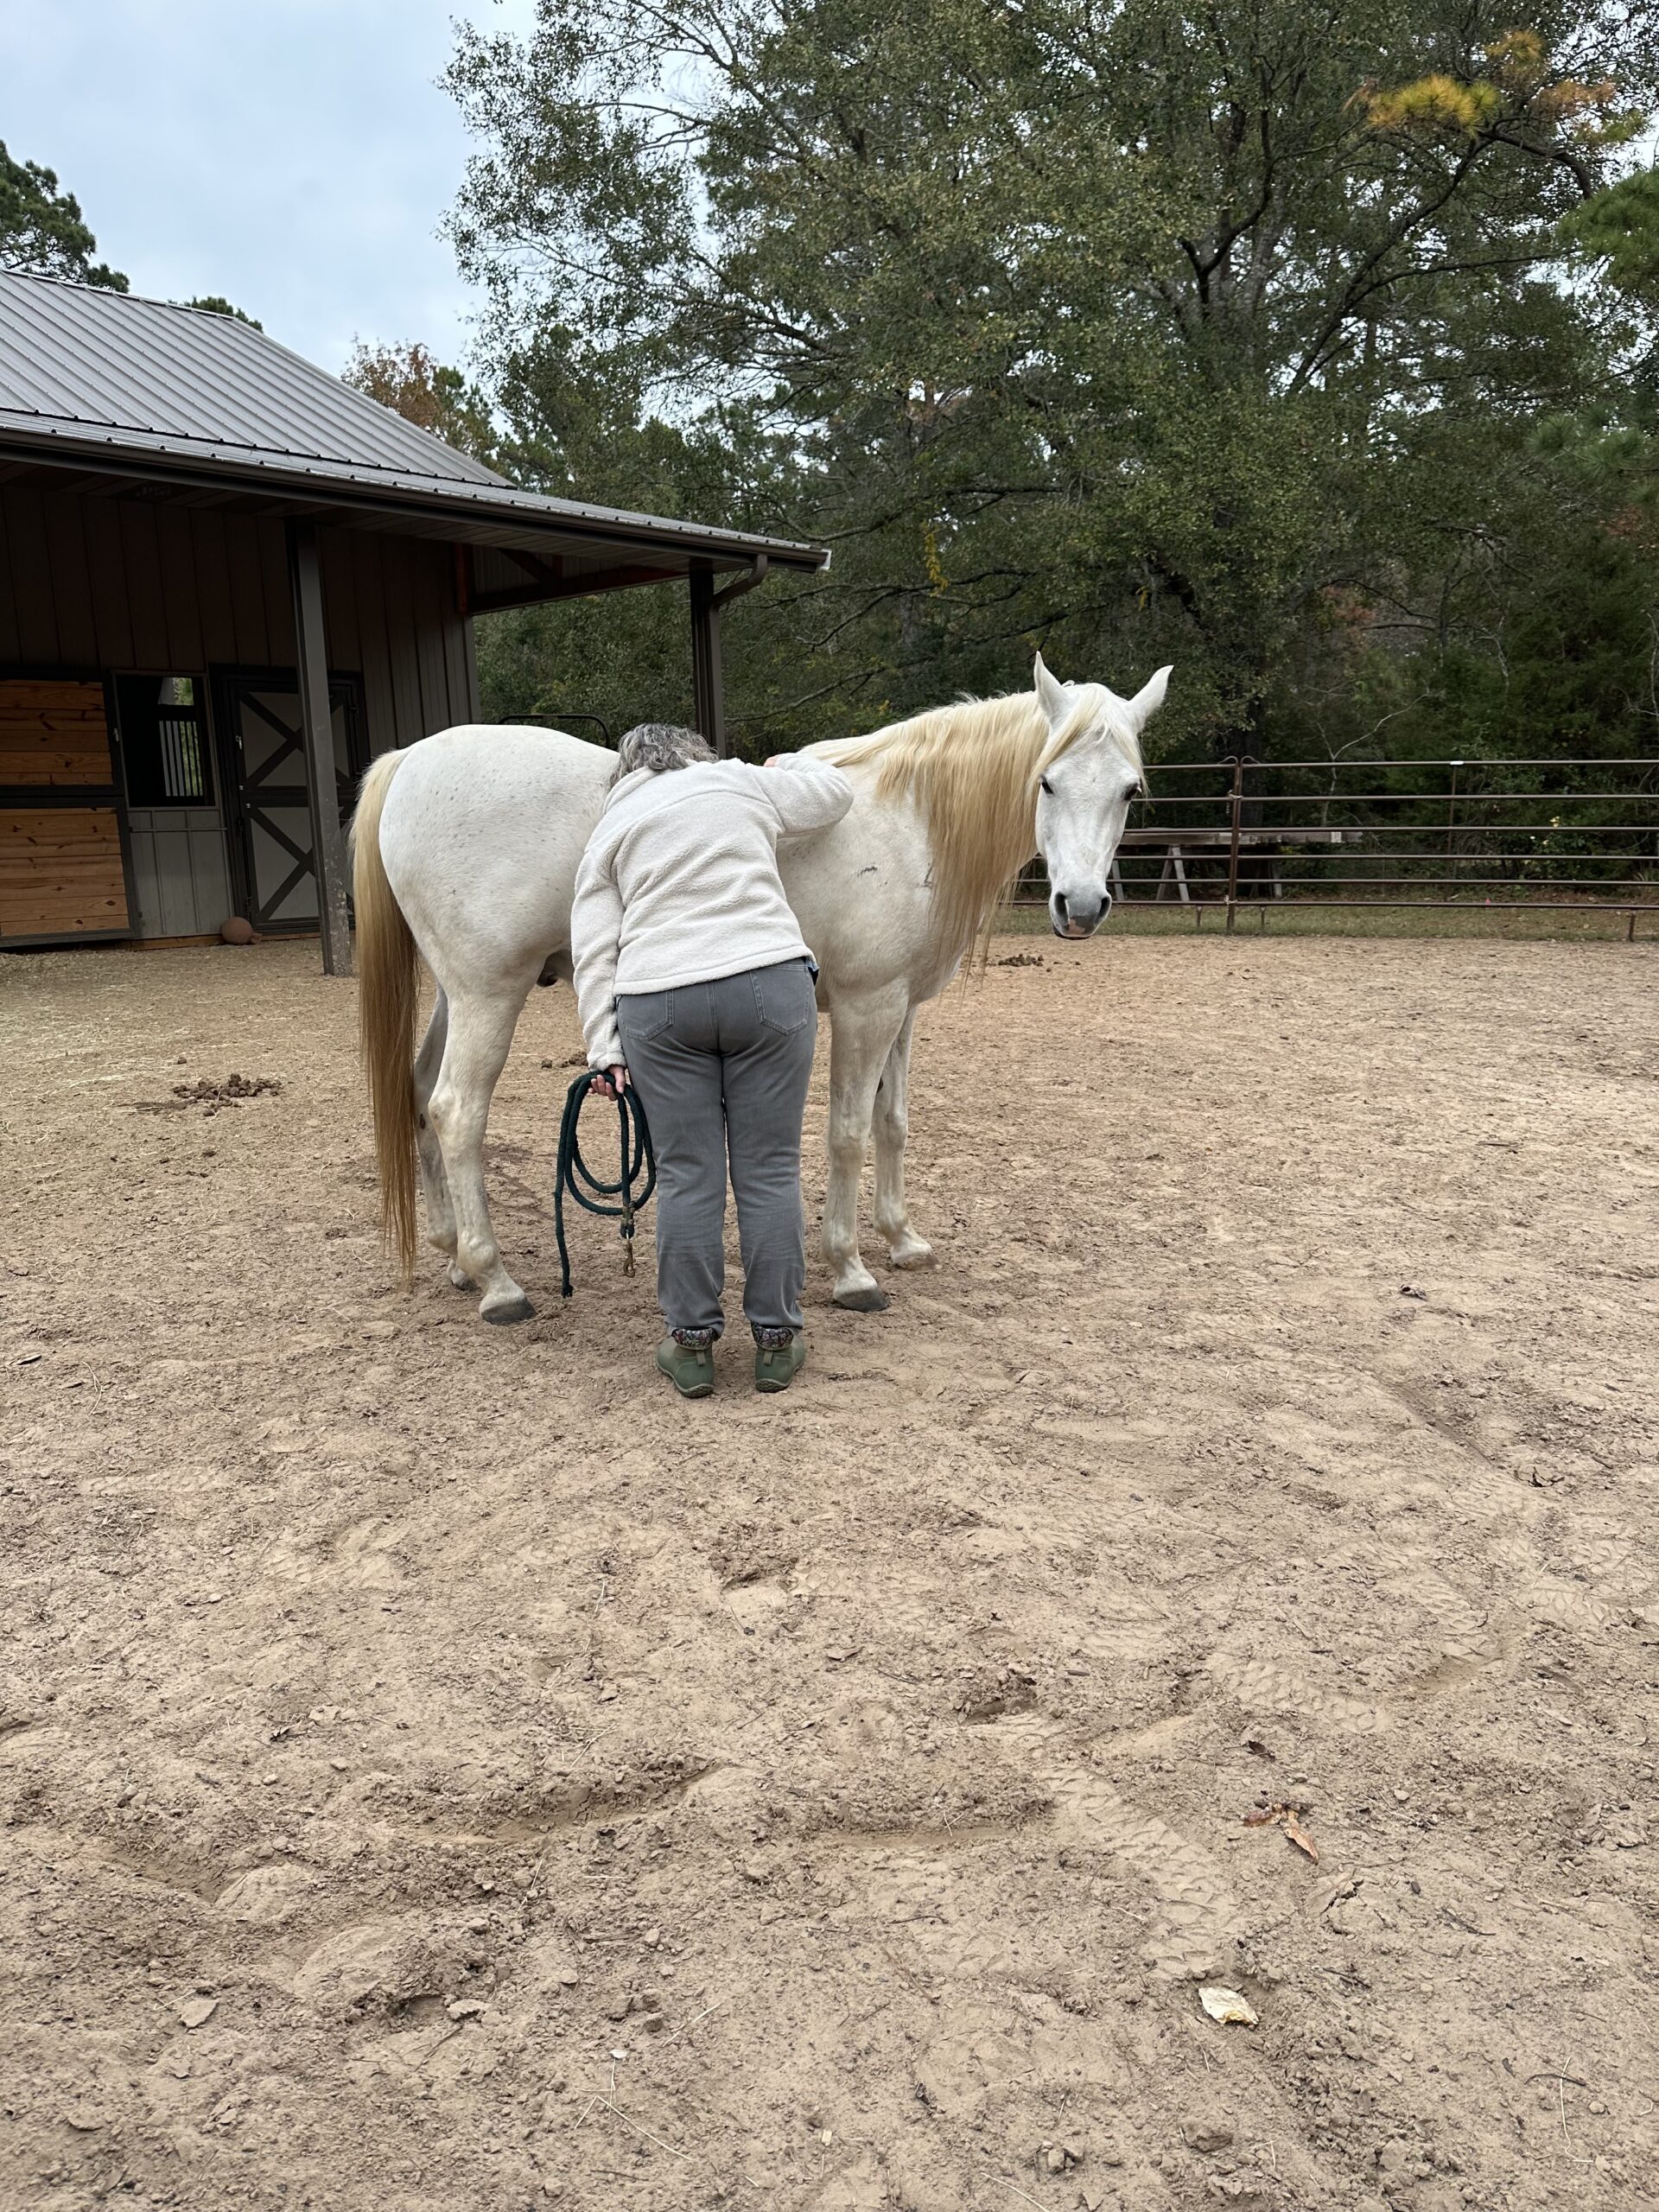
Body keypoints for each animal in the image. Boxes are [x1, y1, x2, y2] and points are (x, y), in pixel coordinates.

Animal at [350, 654, 1169, 1324]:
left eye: (1130, 791)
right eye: (1047, 780)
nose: (1081, 906)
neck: (910, 820)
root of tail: (411, 761)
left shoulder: (902, 1010)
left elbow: (893, 1123)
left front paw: (903, 1238)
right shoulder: (868, 1008)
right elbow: (847, 1133)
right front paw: (851, 1269)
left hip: (458, 995)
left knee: (419, 1096)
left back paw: (456, 1255)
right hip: (490, 995)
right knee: (456, 1112)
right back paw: (497, 1284)